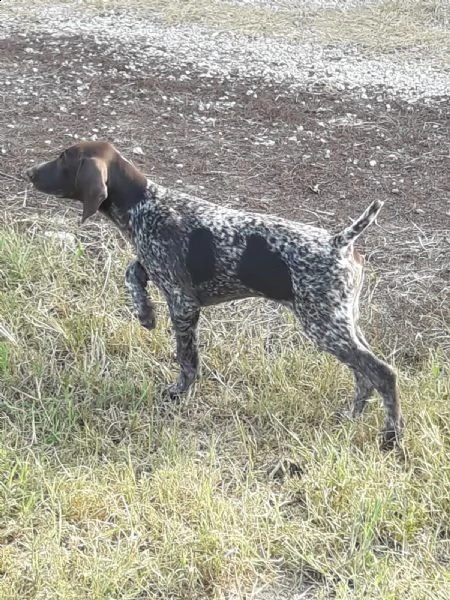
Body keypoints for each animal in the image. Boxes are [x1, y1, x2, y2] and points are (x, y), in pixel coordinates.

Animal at [27, 143, 404, 448]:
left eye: (63, 158)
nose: (29, 172)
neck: (144, 204)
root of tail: (340, 241)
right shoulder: (157, 268)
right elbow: (132, 272)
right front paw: (145, 313)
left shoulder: (183, 303)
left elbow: (187, 358)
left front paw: (180, 392)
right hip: (342, 322)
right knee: (364, 376)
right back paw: (352, 418)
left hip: (324, 325)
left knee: (382, 373)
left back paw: (390, 437)